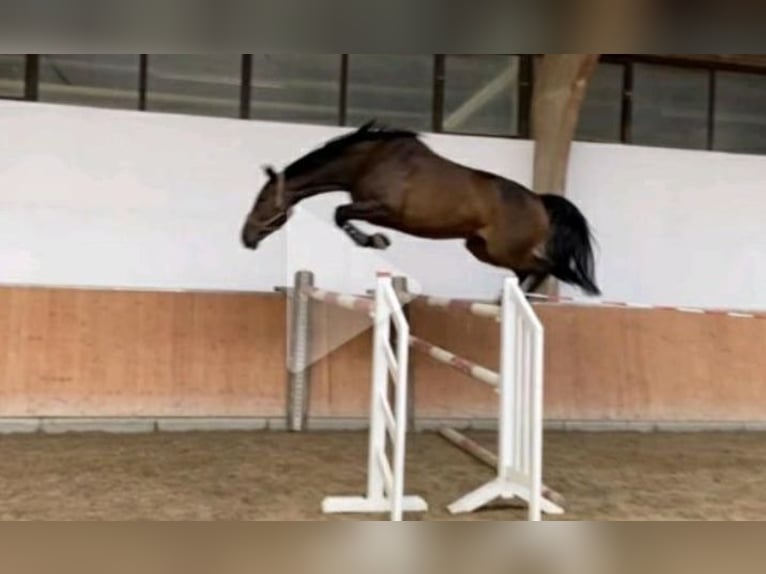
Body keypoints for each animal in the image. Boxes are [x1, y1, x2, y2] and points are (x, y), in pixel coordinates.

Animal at [241, 121, 600, 296]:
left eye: (261, 200)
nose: (246, 237)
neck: (366, 162)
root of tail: (539, 200)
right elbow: (342, 214)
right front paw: (373, 240)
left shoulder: (384, 209)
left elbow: (341, 213)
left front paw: (375, 241)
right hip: (482, 248)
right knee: (528, 272)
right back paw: (505, 301)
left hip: (505, 250)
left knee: (547, 267)